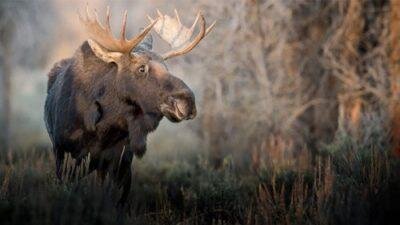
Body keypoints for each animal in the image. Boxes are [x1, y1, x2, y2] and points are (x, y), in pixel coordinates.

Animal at [43, 5, 216, 202]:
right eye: (141, 68)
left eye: (167, 67)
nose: (188, 101)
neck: (103, 128)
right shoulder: (66, 154)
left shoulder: (120, 162)